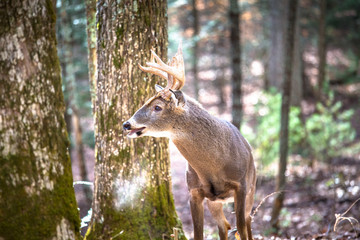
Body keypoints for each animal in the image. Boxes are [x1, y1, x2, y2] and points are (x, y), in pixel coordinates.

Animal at [124, 45, 256, 240]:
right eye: (146, 101)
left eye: (157, 107)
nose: (126, 124)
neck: (214, 166)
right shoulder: (194, 192)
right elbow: (198, 232)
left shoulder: (241, 185)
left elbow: (241, 226)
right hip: (215, 201)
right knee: (225, 225)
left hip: (252, 187)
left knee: (246, 221)